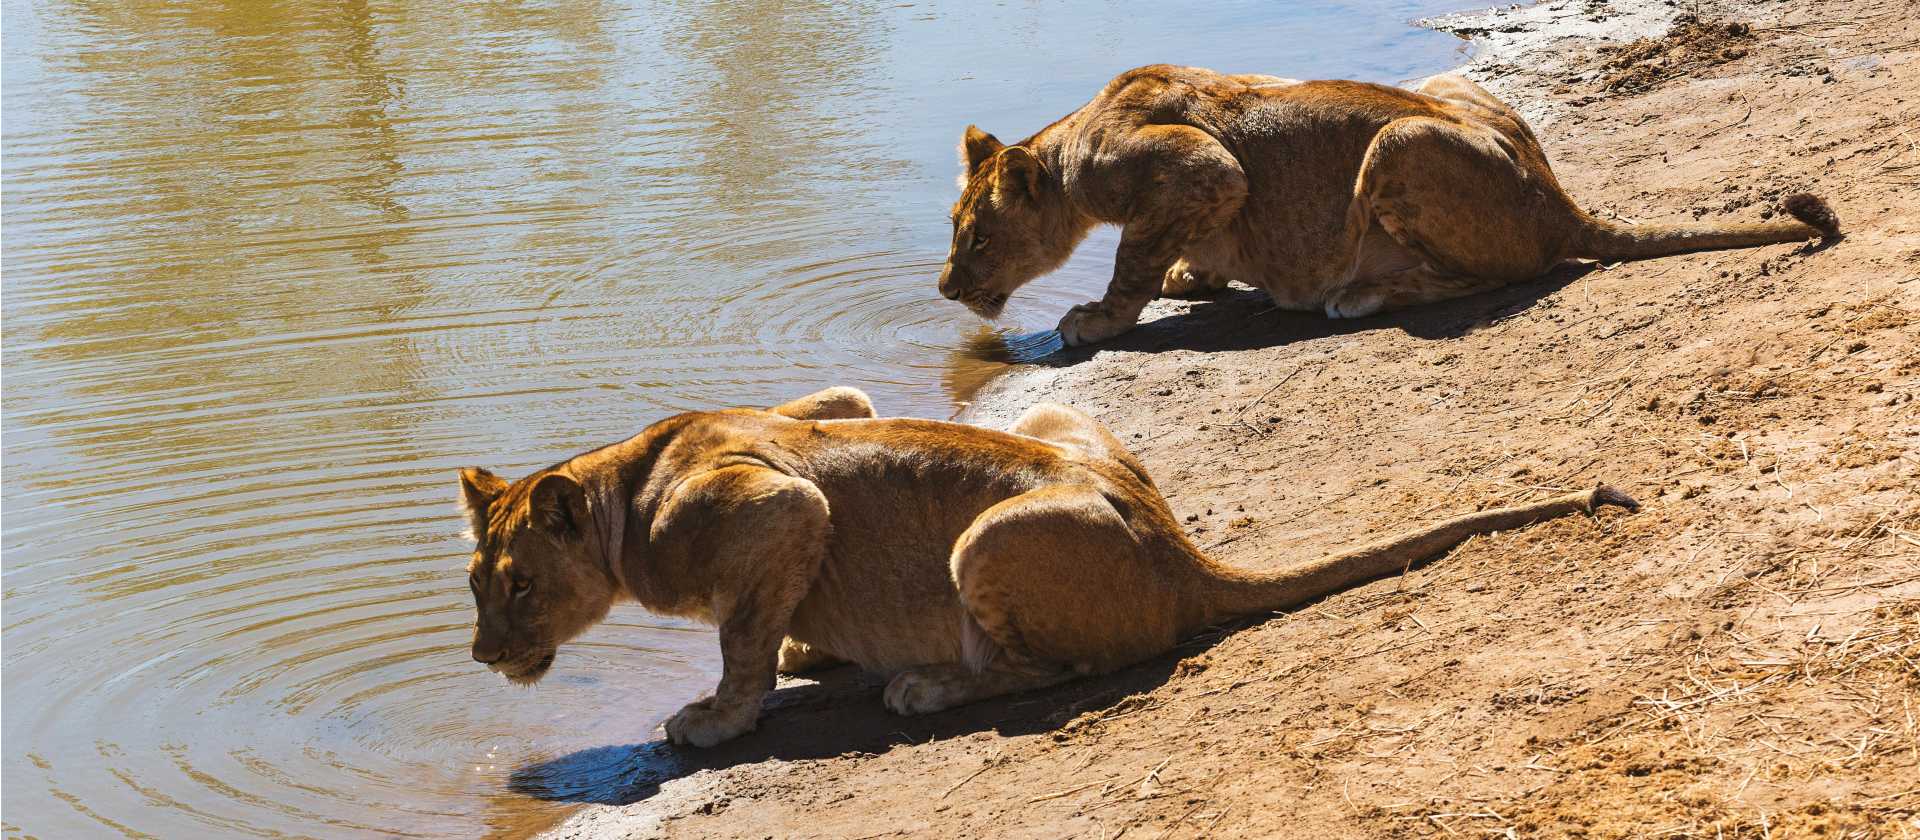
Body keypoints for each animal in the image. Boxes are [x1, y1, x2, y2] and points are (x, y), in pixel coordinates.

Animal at [458, 386, 1636, 747]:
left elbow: (740, 637)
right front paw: (808, 650)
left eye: (517, 584)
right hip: (1050, 416)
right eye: (477, 584)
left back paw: (926, 685)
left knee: (1065, 669)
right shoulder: (832, 405)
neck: (625, 485)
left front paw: (715, 716)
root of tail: (1178, 549)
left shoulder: (781, 502)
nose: (478, 655)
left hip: (984, 539)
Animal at [937, 65, 1840, 345]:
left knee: (1499, 275)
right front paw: (1192, 276)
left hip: (1400, 142)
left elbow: (1131, 258)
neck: (1071, 150)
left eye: (977, 237)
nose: (944, 288)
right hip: (1443, 89)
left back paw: (1358, 293)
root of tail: (1559, 200)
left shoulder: (1205, 169)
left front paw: (1095, 317)